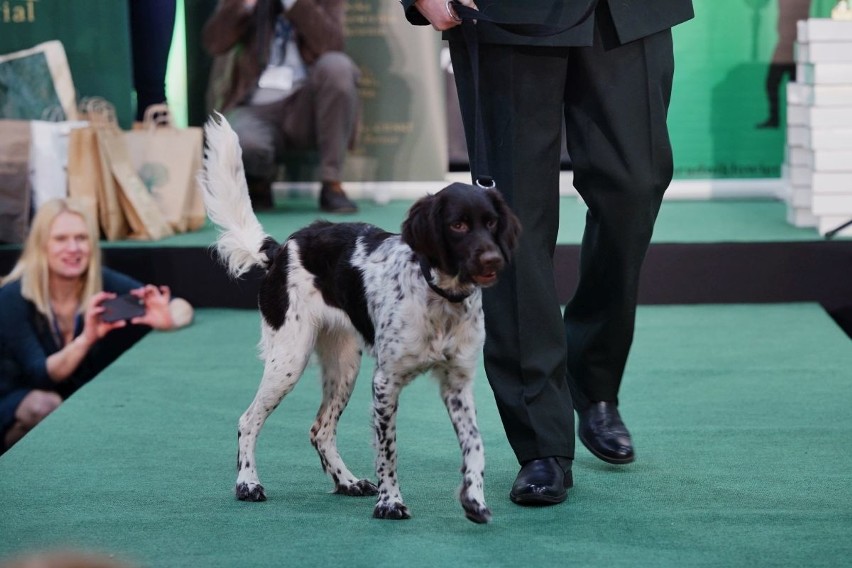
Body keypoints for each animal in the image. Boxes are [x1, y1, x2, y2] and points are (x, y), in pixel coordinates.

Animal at [200, 115, 520, 524]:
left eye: (492, 223)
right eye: (458, 226)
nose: (493, 260)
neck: (439, 297)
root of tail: (282, 248)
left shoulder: (458, 382)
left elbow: (475, 444)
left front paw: (474, 499)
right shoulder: (385, 383)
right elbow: (388, 451)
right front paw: (391, 502)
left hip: (344, 364)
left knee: (320, 429)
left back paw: (347, 482)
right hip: (289, 358)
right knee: (248, 420)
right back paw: (248, 483)